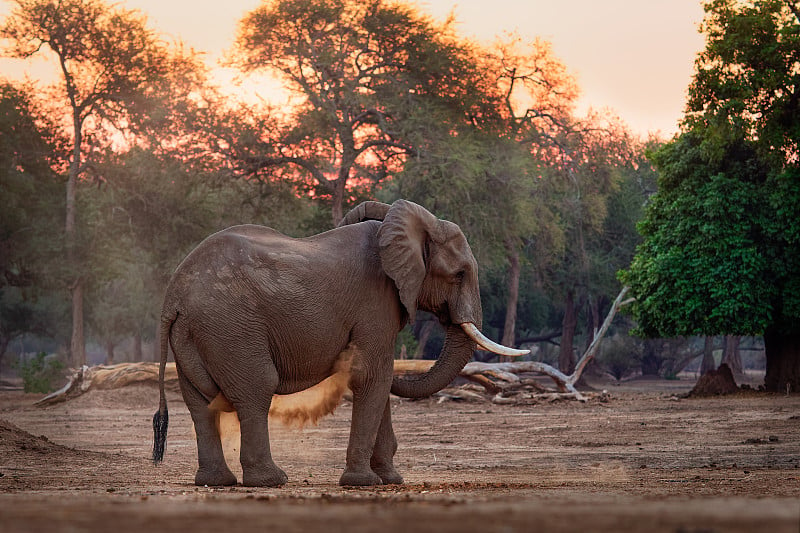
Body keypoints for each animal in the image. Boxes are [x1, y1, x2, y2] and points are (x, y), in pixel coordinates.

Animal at [153, 200, 528, 486]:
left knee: (200, 403)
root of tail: (173, 297)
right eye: (459, 274)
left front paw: (391, 480)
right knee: (256, 390)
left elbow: (377, 379)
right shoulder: (375, 301)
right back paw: (272, 480)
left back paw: (217, 482)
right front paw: (364, 483)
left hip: (197, 333)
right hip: (231, 327)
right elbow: (373, 375)